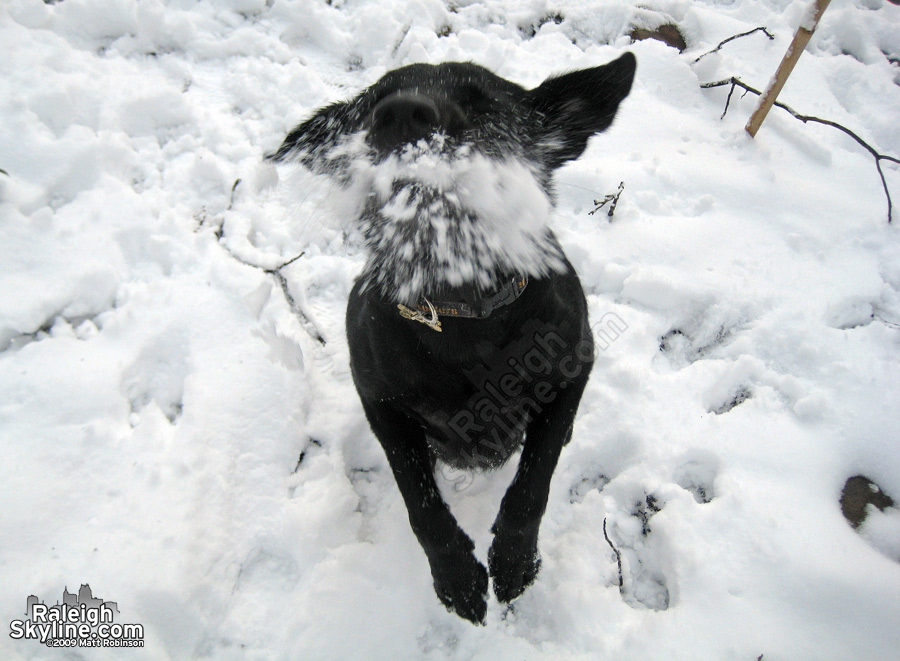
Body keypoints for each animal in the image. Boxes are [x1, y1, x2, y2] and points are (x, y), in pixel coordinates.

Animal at [270, 54, 636, 620]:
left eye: (481, 100)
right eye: (371, 101)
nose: (399, 113)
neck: (460, 310)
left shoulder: (572, 373)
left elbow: (535, 481)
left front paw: (514, 560)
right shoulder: (382, 404)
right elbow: (421, 503)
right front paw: (459, 579)